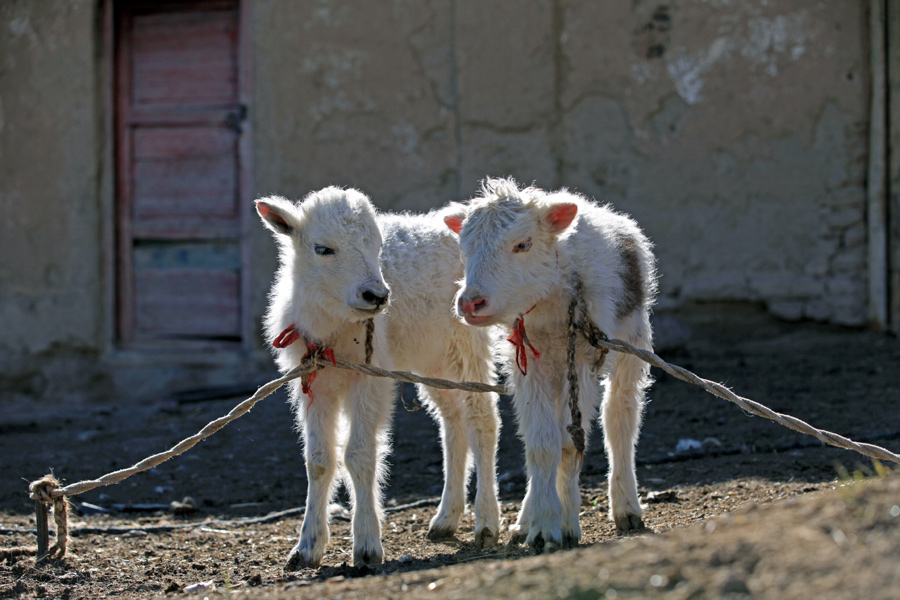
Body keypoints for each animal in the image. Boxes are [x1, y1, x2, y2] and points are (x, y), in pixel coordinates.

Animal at [256, 189, 502, 572]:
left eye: (378, 246)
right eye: (323, 248)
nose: (376, 296)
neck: (334, 326)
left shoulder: (370, 377)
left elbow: (359, 454)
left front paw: (367, 546)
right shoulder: (314, 381)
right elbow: (318, 459)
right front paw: (307, 548)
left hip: (467, 341)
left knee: (481, 420)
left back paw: (487, 524)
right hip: (433, 357)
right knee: (452, 420)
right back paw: (446, 518)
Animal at [446, 177, 656, 552]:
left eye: (523, 244)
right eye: (464, 249)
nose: (470, 303)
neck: (549, 297)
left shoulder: (585, 355)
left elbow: (570, 443)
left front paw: (566, 526)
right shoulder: (529, 362)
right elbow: (542, 443)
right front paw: (543, 527)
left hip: (632, 339)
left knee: (621, 414)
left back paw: (627, 508)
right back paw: (524, 522)